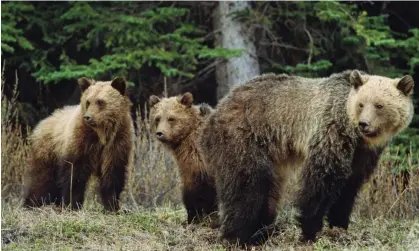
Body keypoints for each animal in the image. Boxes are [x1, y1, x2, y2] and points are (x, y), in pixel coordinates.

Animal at [23, 77, 135, 212]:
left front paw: (112, 206)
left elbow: (113, 174)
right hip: (48, 151)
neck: (102, 134)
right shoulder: (81, 141)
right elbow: (75, 174)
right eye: (88, 102)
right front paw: (72, 205)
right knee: (41, 179)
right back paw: (32, 203)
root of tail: (43, 122)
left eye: (100, 102)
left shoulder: (117, 142)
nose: (88, 117)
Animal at [199, 70, 416, 245]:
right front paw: (309, 231)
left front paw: (339, 227)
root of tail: (218, 108)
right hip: (245, 135)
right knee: (246, 185)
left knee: (269, 190)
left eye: (379, 105)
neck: (355, 136)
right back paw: (238, 236)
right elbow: (320, 181)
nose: (364, 124)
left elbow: (349, 188)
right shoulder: (330, 132)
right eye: (361, 104)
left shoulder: (363, 154)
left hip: (271, 154)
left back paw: (262, 231)